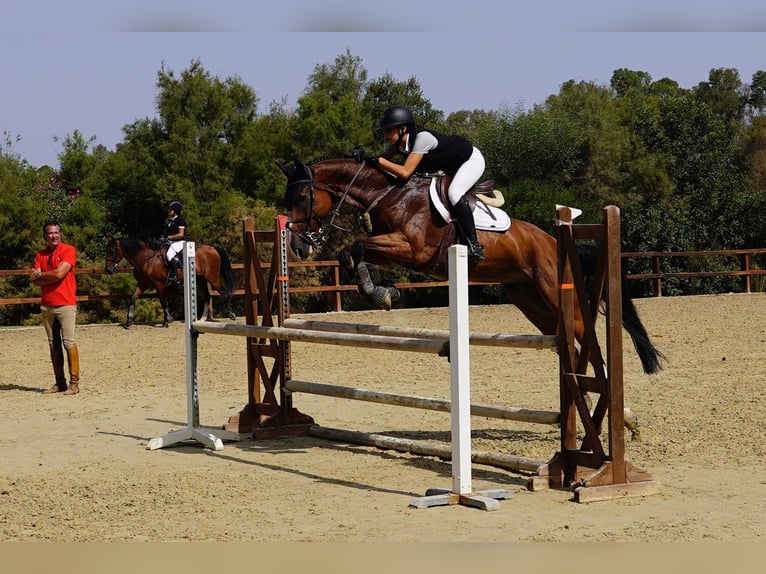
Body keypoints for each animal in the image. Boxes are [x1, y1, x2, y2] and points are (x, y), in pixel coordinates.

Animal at [105, 238, 236, 328]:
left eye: (112, 250)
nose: (108, 270)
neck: (146, 260)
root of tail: (212, 248)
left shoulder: (159, 284)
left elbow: (163, 301)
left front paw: (167, 320)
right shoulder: (142, 284)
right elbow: (133, 297)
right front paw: (129, 321)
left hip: (212, 278)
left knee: (223, 292)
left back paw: (230, 313)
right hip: (201, 279)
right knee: (207, 296)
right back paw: (202, 319)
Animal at [278, 157, 665, 376]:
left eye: (301, 196)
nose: (297, 246)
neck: (390, 193)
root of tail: (554, 241)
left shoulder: (414, 249)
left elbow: (356, 246)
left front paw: (379, 293)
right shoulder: (392, 247)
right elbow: (352, 253)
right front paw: (381, 292)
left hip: (551, 289)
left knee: (584, 330)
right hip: (527, 297)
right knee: (562, 334)